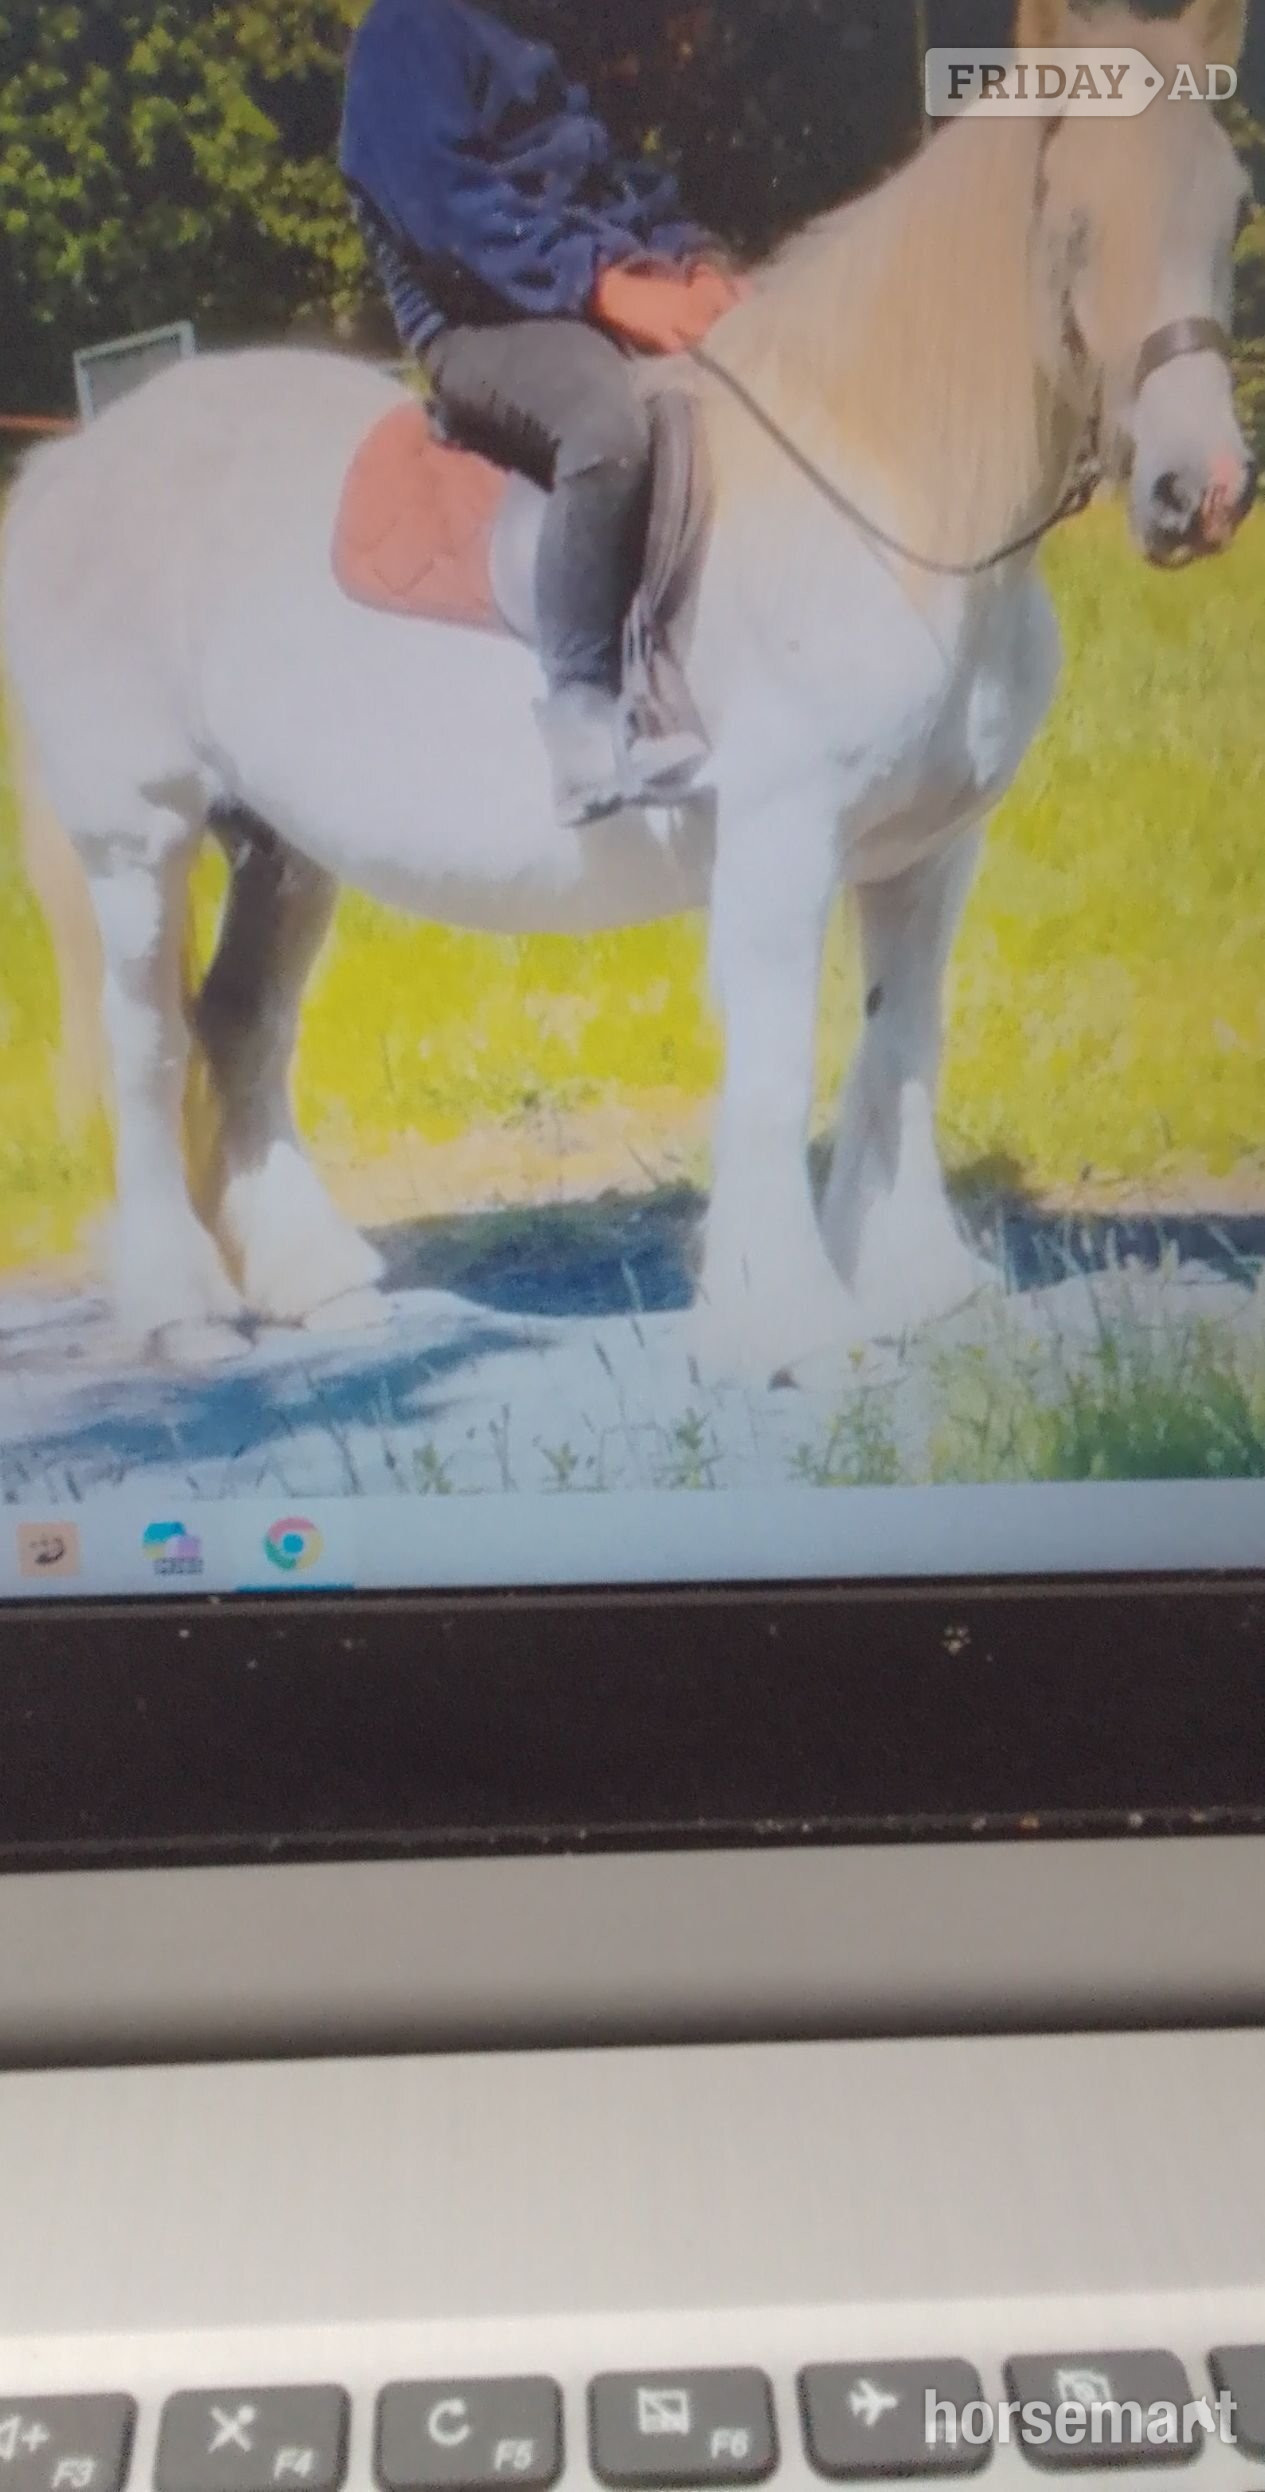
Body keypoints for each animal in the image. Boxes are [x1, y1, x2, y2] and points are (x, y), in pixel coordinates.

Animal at [1, 0, 1254, 1381]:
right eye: (1070, 219)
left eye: (1230, 207)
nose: (1199, 492)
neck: (878, 487)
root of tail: (71, 468)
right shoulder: (779, 838)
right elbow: (775, 1062)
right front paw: (785, 1309)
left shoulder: (928, 851)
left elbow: (902, 1040)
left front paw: (913, 1276)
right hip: (139, 838)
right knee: (148, 1046)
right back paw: (182, 1307)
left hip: (282, 847)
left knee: (239, 1027)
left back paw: (315, 1287)